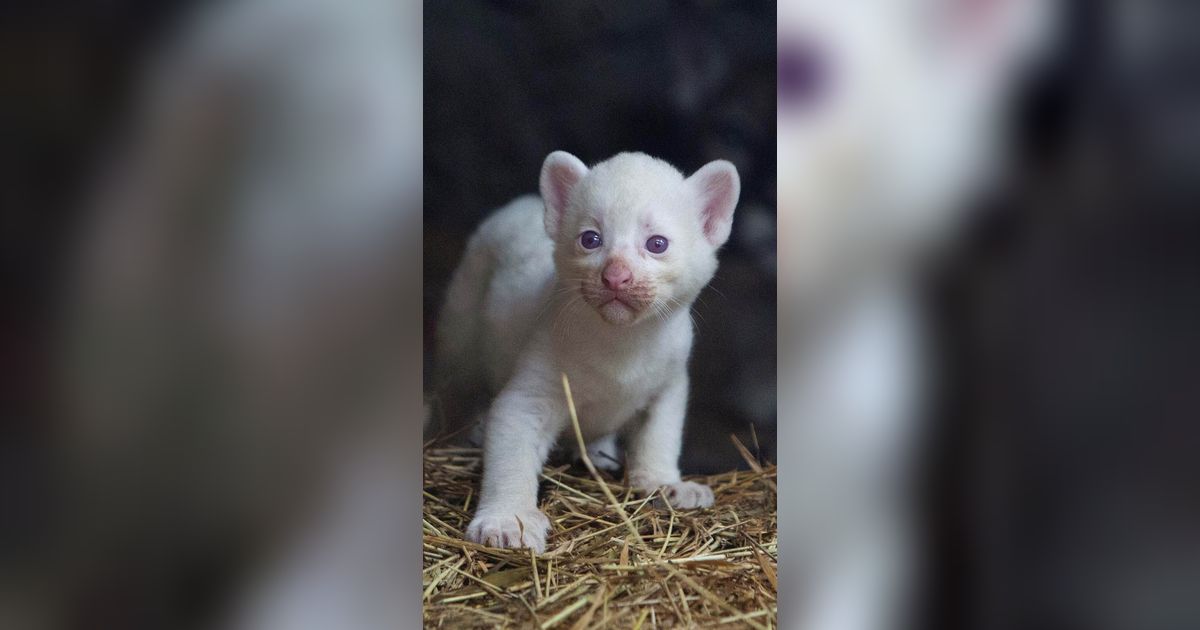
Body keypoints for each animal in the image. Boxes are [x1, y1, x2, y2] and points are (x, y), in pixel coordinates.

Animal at [436, 151, 734, 549]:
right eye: (590, 239)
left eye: (657, 243)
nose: (616, 276)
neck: (623, 344)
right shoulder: (531, 392)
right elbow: (511, 454)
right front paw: (507, 522)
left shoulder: (669, 384)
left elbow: (660, 435)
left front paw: (666, 484)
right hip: (460, 338)